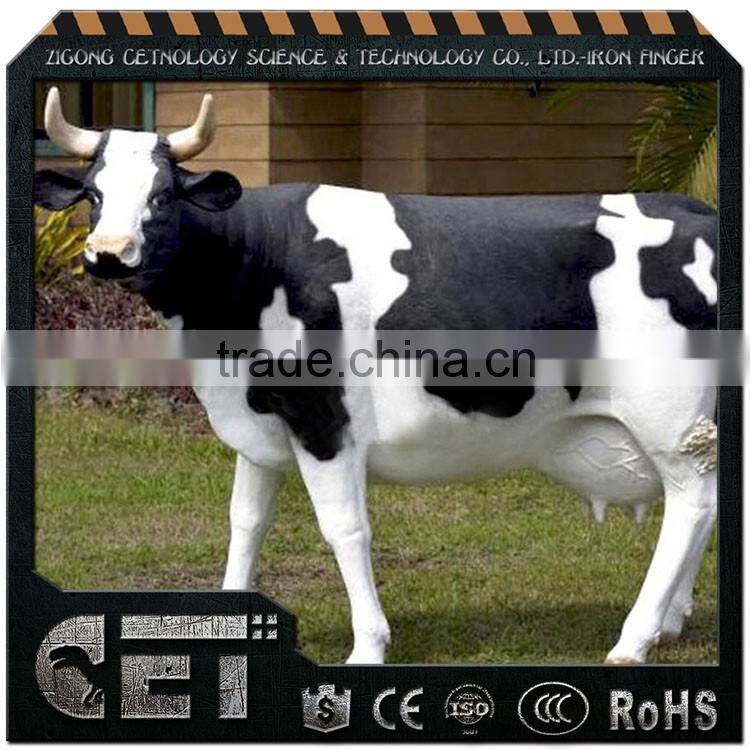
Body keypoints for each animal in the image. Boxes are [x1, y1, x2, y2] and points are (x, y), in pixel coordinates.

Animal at [35, 87, 718, 665]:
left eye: (161, 196)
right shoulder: (258, 419)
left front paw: (368, 646)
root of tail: (697, 210)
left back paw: (634, 638)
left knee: (691, 504)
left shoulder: (323, 420)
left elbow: (345, 529)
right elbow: (245, 520)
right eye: (94, 194)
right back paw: (670, 621)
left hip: (673, 421)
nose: (107, 254)